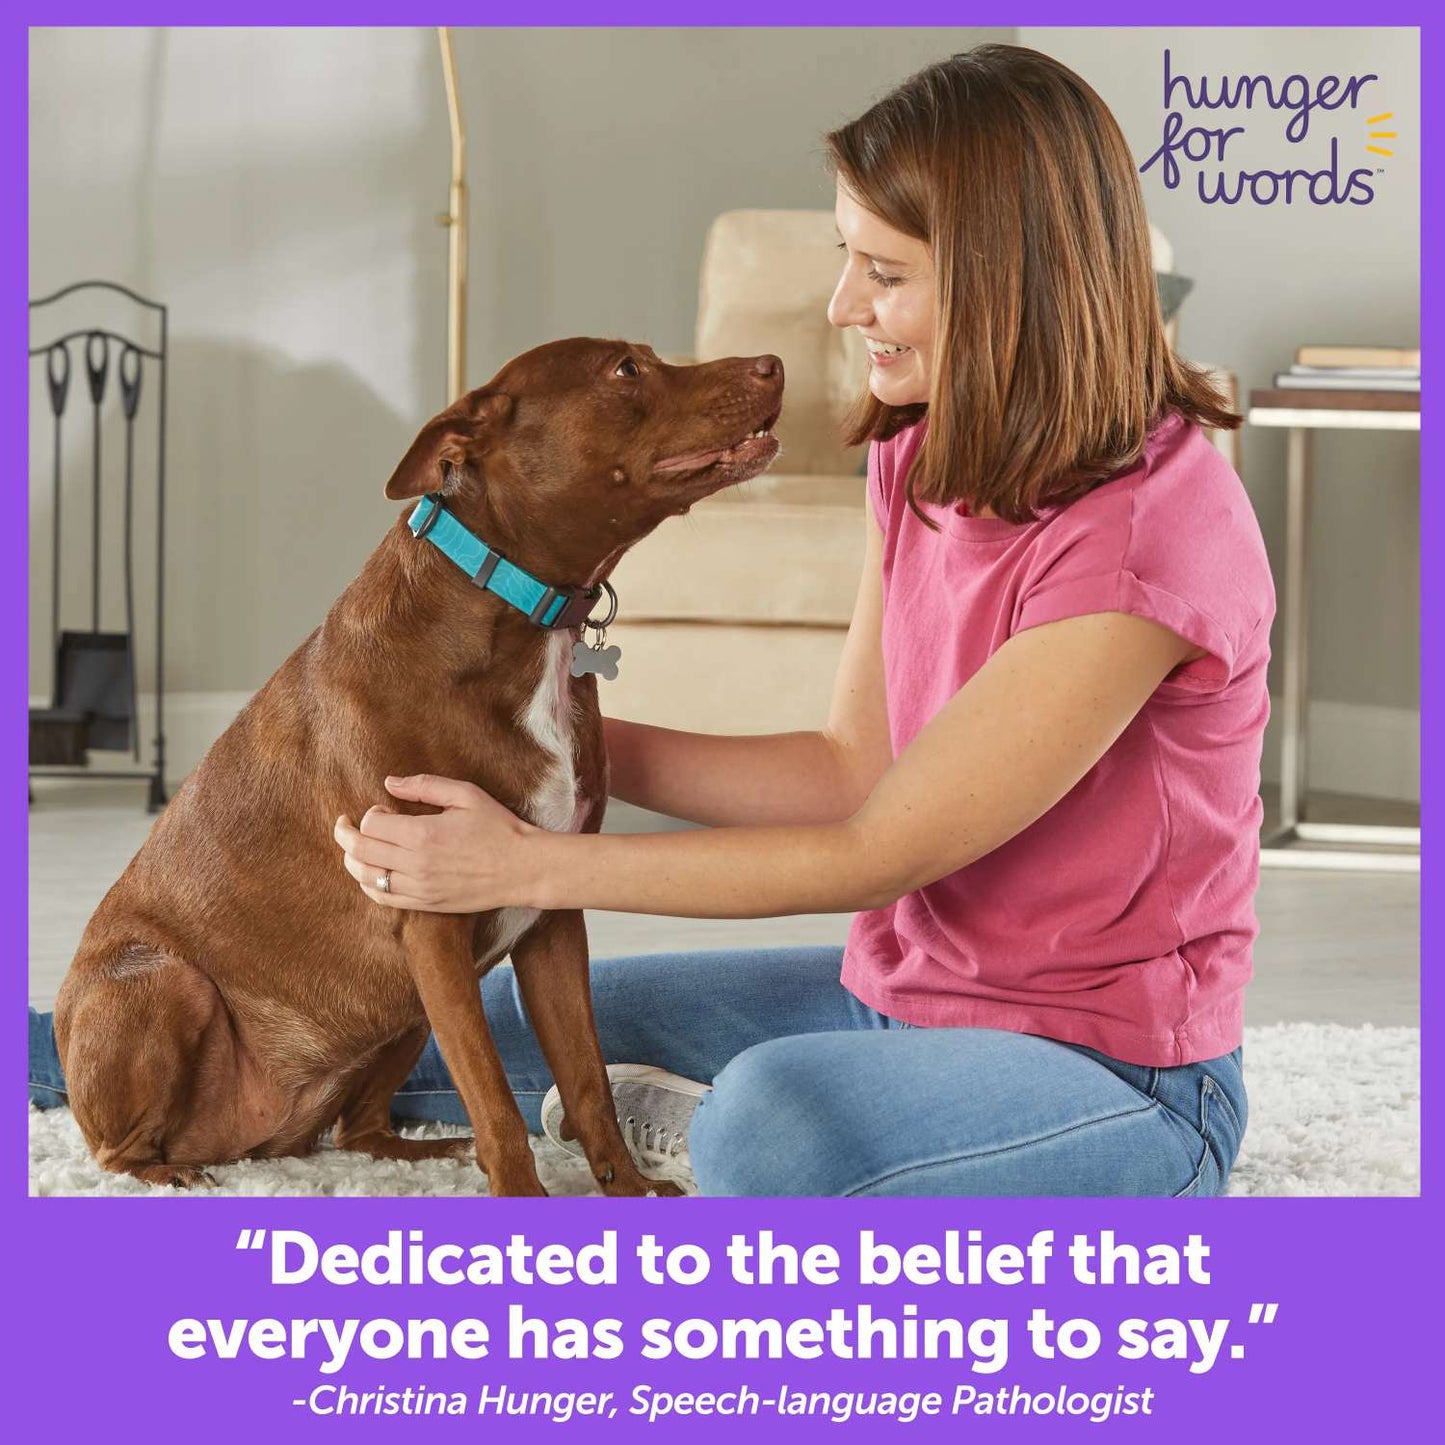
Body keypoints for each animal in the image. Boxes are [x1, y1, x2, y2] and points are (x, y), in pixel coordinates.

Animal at [53, 341, 780, 1196]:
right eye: (625, 370)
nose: (772, 364)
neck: (516, 609)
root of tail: (255, 1143)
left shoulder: (551, 911)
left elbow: (586, 1076)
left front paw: (627, 1192)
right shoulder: (431, 923)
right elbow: (496, 1097)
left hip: (397, 1013)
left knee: (360, 1130)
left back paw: (432, 1150)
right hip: (168, 984)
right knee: (115, 1150)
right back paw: (173, 1175)